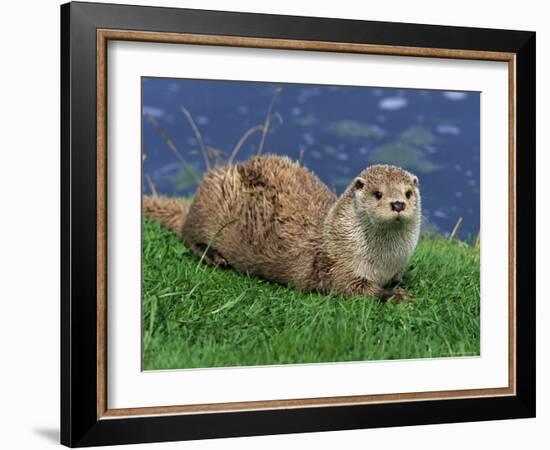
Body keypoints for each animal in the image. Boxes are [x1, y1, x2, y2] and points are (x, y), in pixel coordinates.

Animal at [143, 155, 422, 302]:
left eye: (408, 193)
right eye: (378, 193)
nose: (398, 203)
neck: (383, 263)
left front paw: (399, 285)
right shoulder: (336, 266)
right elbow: (354, 289)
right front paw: (397, 296)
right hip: (210, 203)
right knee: (187, 234)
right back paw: (213, 256)